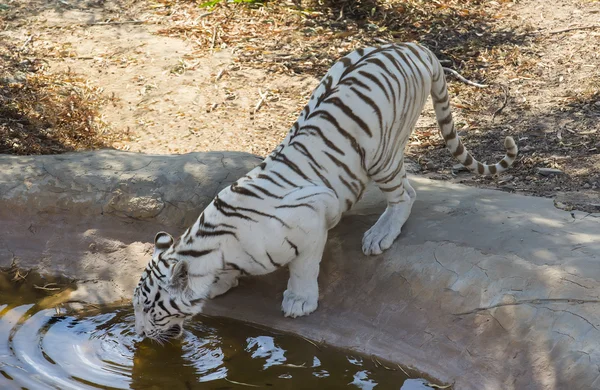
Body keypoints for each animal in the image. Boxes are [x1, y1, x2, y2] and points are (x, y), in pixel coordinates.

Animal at [134, 43, 516, 342]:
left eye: (151, 310)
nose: (137, 333)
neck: (214, 249)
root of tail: (412, 46)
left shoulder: (311, 216)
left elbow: (304, 266)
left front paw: (299, 302)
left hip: (380, 155)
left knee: (405, 194)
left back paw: (379, 235)